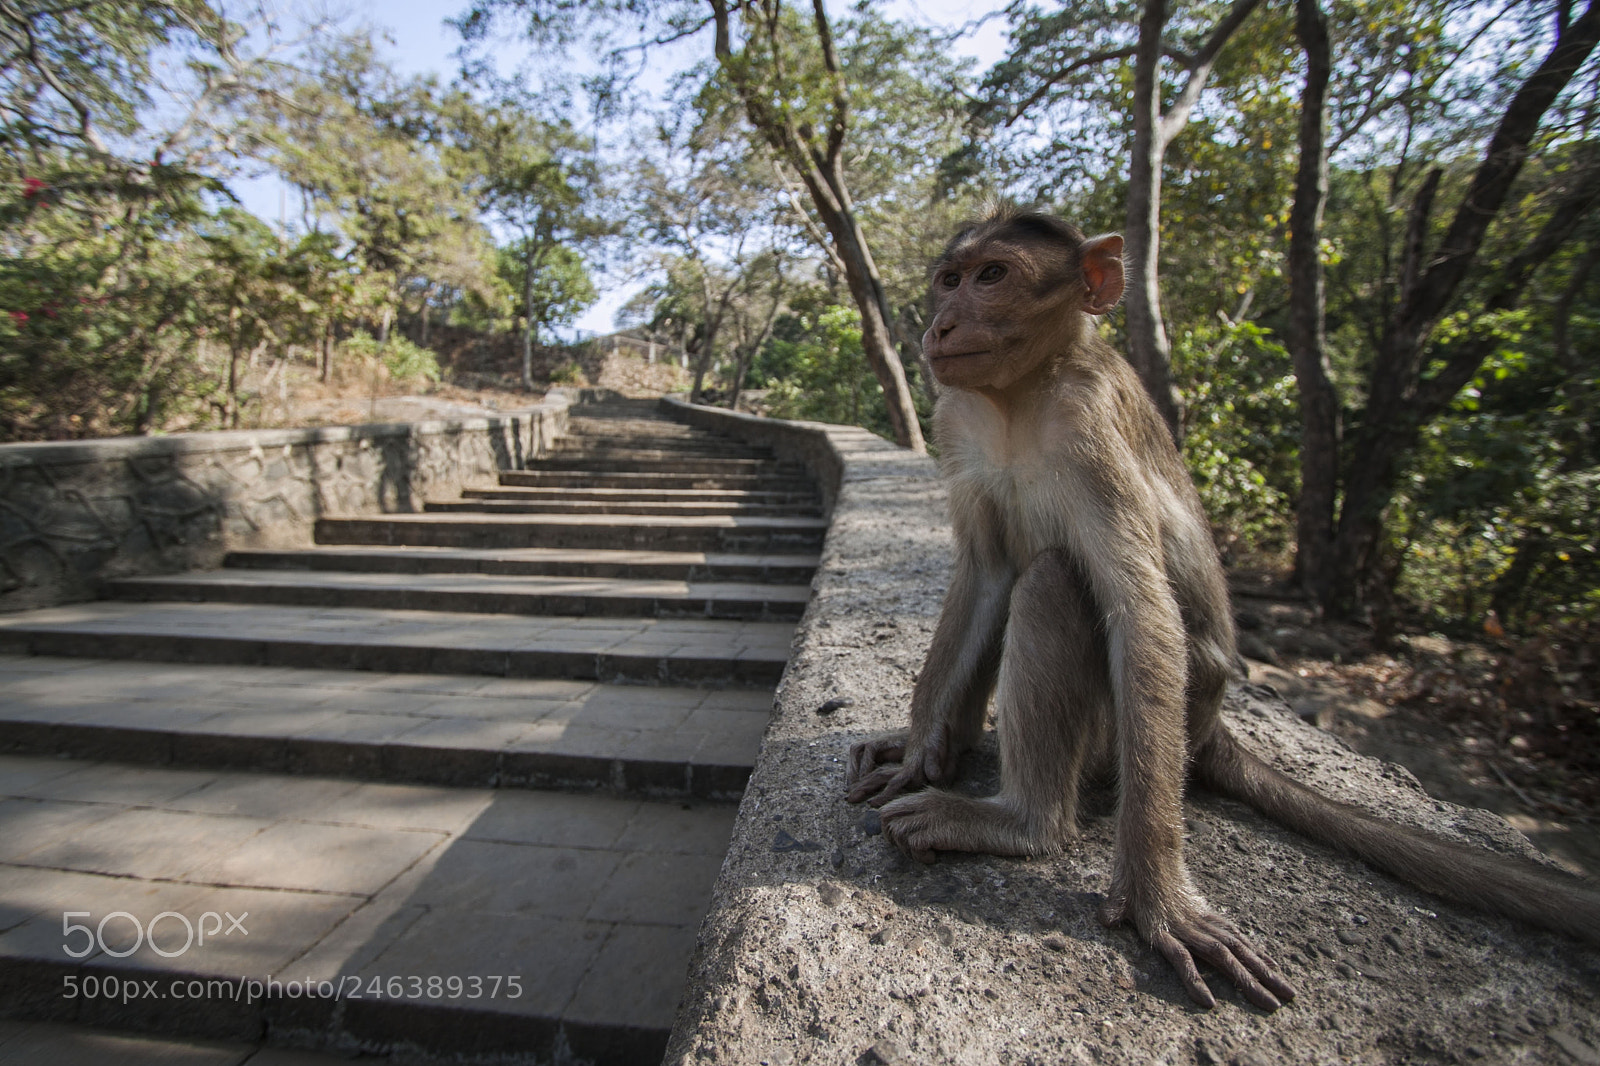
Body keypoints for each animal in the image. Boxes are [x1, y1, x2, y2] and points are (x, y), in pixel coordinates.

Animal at [845, 207, 1600, 1011]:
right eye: (950, 278)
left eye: (993, 277)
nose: (942, 324)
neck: (1020, 394)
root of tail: (1208, 728)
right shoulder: (955, 416)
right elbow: (986, 573)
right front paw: (914, 747)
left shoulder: (1090, 428)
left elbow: (1142, 615)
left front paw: (1159, 899)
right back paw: (950, 755)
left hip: (1128, 738)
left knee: (1052, 581)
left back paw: (1023, 824)